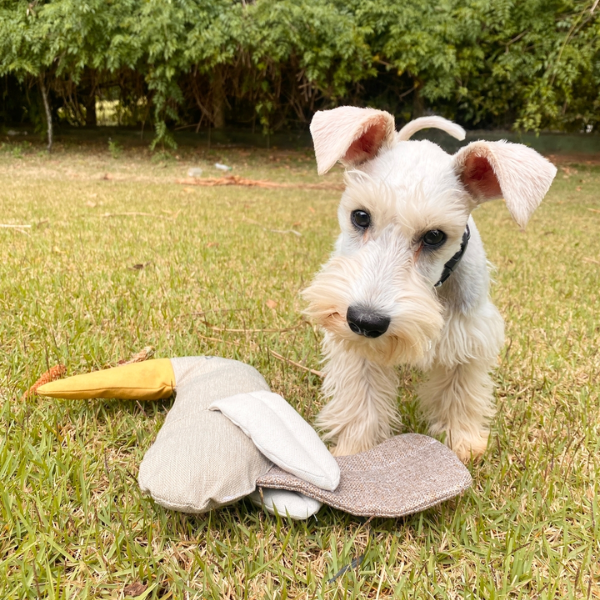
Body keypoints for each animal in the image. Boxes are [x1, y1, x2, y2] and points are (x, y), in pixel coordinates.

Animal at [304, 108, 556, 462]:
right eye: (360, 216)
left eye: (435, 235)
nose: (366, 321)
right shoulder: (355, 346)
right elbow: (362, 398)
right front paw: (358, 449)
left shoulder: (469, 337)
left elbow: (459, 391)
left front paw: (462, 441)